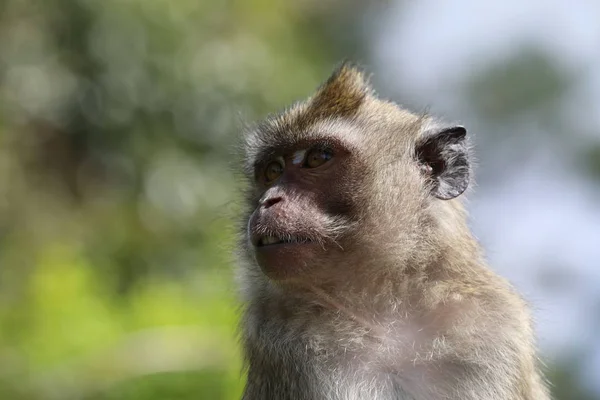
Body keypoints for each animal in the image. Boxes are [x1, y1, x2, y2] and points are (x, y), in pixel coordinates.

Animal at [233, 63, 548, 400]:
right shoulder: (283, 337)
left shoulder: (493, 324)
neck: (386, 301)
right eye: (272, 171)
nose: (268, 201)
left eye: (317, 158)